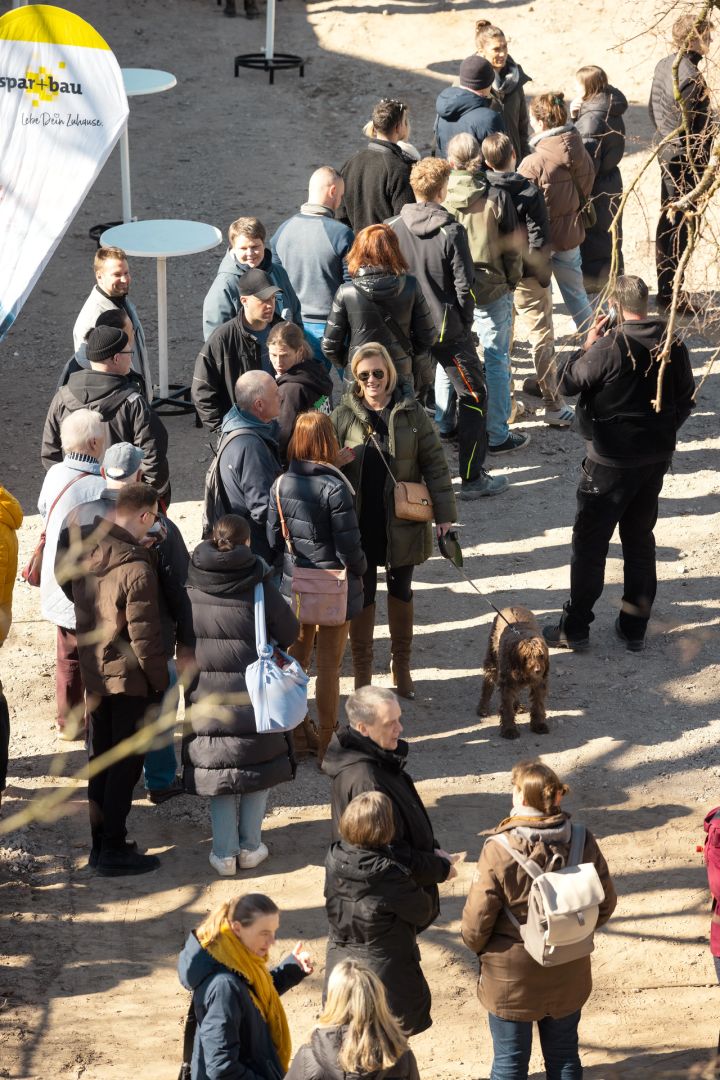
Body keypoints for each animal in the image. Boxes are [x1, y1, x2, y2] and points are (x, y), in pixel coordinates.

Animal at [476, 605, 550, 740]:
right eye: (526, 657)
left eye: (541, 656)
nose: (538, 670)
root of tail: (512, 606)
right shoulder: (507, 685)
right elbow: (507, 709)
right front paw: (509, 729)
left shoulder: (539, 684)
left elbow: (538, 705)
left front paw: (539, 725)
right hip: (492, 659)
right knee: (488, 683)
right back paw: (483, 708)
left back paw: (517, 706)